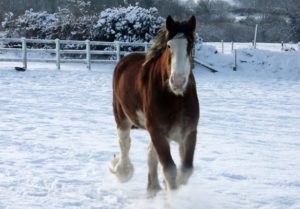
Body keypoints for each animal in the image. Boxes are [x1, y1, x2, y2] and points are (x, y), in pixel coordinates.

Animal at [110, 15, 199, 192]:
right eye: (169, 45)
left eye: (190, 45)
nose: (178, 81)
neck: (176, 98)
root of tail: (124, 60)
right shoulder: (157, 131)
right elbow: (170, 169)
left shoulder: (189, 132)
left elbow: (186, 170)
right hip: (122, 117)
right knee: (125, 144)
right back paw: (123, 171)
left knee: (150, 154)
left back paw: (153, 188)